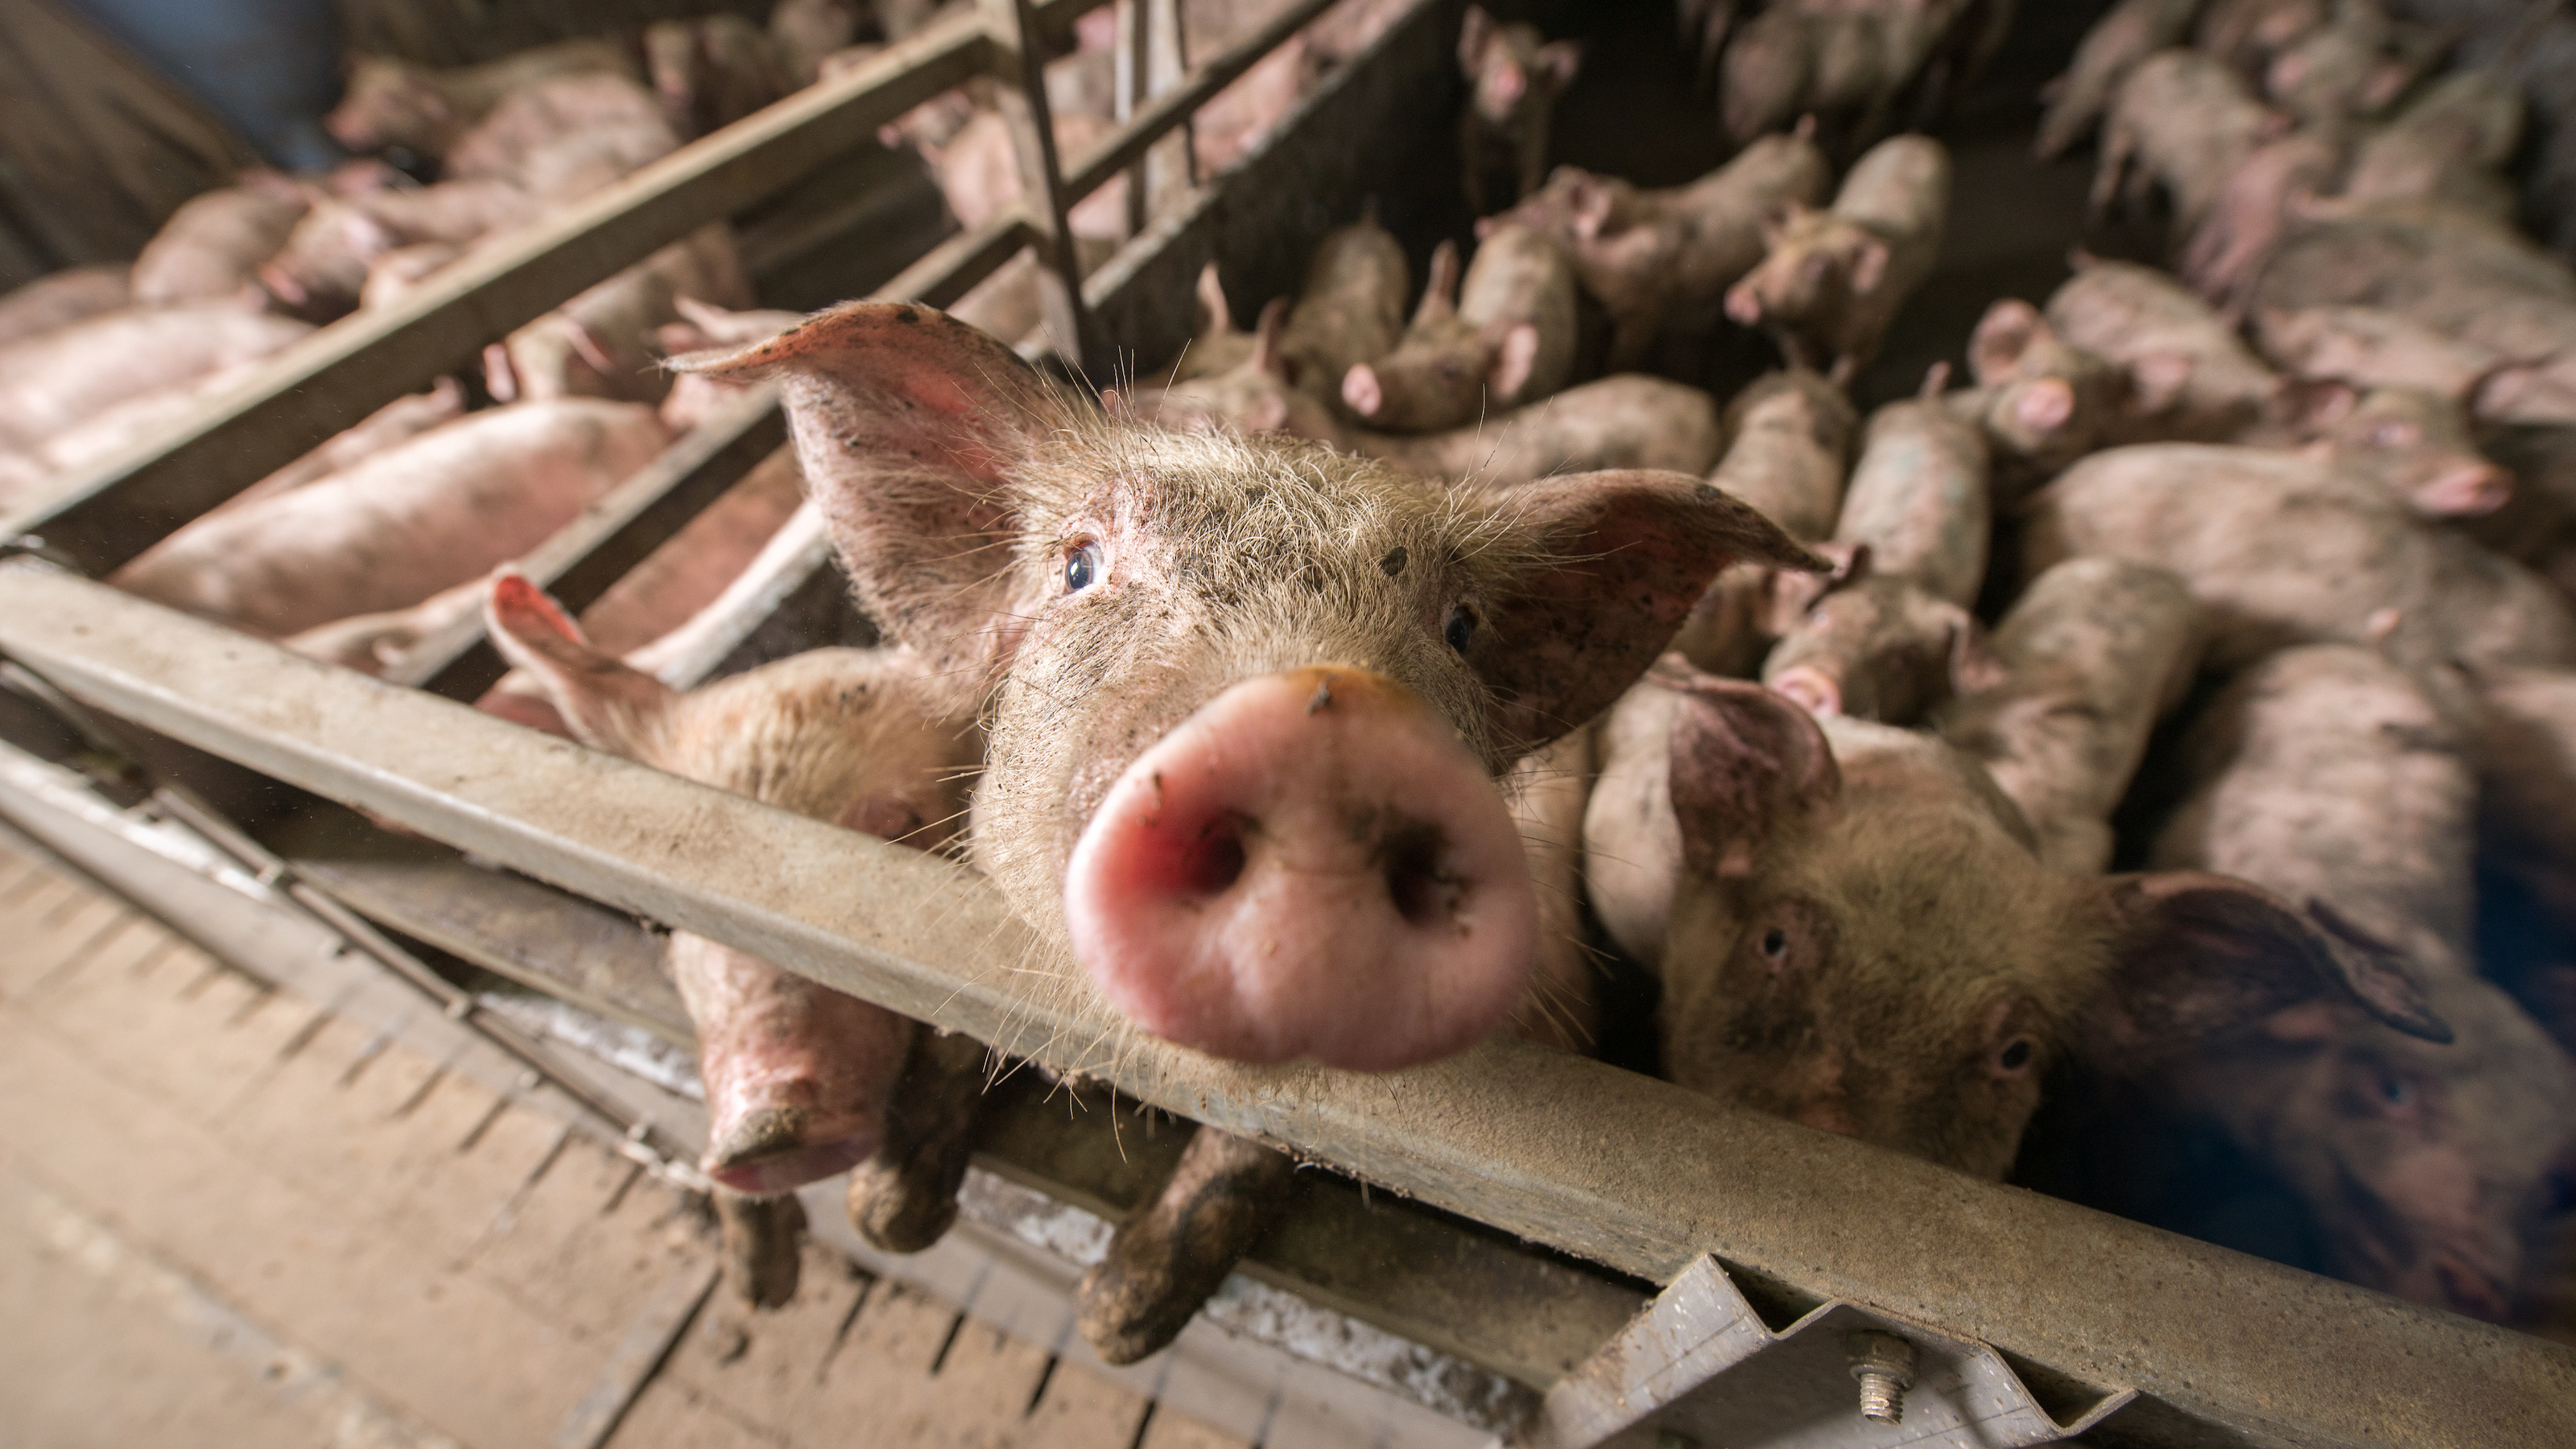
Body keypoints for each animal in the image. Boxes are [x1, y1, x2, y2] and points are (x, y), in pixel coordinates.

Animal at [1457, 6, 1581, 215]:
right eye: (1496, 64)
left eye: (1531, 74)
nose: (1514, 76)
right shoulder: (1470, 147)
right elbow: (1474, 187)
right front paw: (1481, 213)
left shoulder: (1534, 149)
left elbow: (1528, 186)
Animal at [1485, 129, 1831, 371]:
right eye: (1531, 200)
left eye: (1538, 215)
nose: (1483, 223)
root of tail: (1801, 139)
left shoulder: (1647, 308)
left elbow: (1624, 356)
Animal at [1725, 134, 1950, 385]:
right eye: (1777, 249)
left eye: (1820, 267)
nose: (1742, 294)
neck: (1822, 321)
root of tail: (1915, 137)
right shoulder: (1794, 337)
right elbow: (1801, 364)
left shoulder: (1868, 335)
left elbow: (1845, 371)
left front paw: (1833, 387)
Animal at [2094, 49, 2284, 238]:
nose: (2278, 120)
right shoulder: (2191, 186)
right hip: (2119, 126)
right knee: (2111, 168)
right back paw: (2101, 217)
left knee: (2141, 175)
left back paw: (2143, 210)